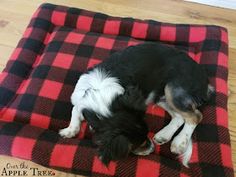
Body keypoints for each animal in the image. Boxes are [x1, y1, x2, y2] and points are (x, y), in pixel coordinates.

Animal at [59, 42, 214, 167]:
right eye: (138, 145)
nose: (152, 149)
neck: (102, 96)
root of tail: (206, 81)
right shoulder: (80, 100)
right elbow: (75, 110)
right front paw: (69, 130)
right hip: (160, 96)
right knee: (180, 117)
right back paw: (164, 135)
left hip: (173, 89)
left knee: (195, 116)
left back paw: (180, 142)